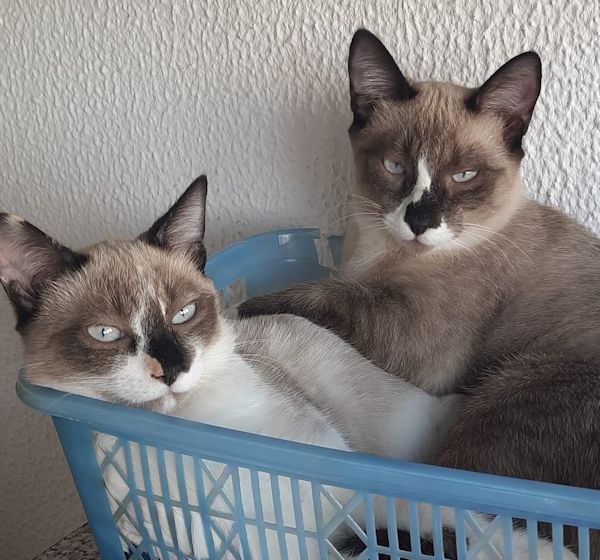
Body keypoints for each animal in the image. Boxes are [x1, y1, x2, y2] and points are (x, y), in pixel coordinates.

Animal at [238, 29, 600, 558]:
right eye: (394, 166)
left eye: (464, 176)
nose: (419, 221)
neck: (377, 253)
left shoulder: (408, 339)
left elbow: (318, 298)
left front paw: (237, 309)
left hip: (511, 388)